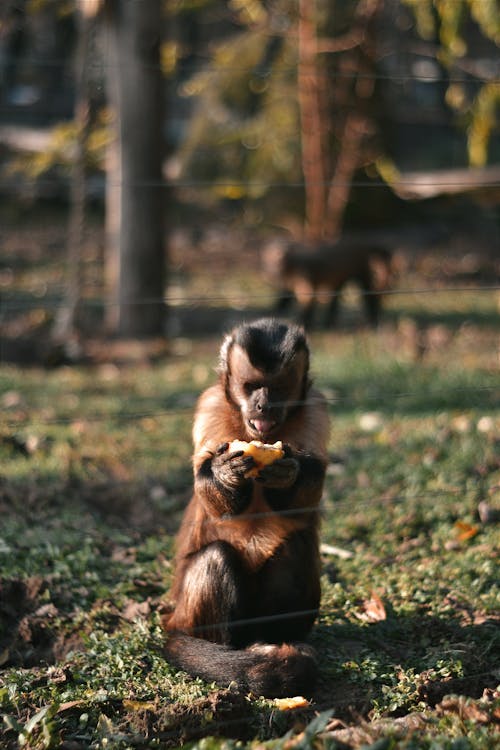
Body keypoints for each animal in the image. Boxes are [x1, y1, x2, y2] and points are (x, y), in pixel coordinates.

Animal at [162, 318, 330, 700]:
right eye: (251, 387)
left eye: (277, 389)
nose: (263, 406)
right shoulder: (210, 405)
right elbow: (207, 486)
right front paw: (224, 471)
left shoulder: (316, 408)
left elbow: (306, 492)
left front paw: (288, 472)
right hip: (188, 615)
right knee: (215, 558)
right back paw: (225, 650)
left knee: (294, 548)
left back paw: (272, 641)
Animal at [262, 236, 394, 328]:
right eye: (270, 259)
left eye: (281, 257)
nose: (272, 270)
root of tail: (364, 244)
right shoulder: (288, 286)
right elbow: (283, 301)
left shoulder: (307, 284)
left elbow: (307, 307)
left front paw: (306, 324)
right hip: (341, 278)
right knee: (335, 299)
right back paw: (329, 322)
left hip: (361, 272)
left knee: (369, 296)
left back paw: (373, 320)